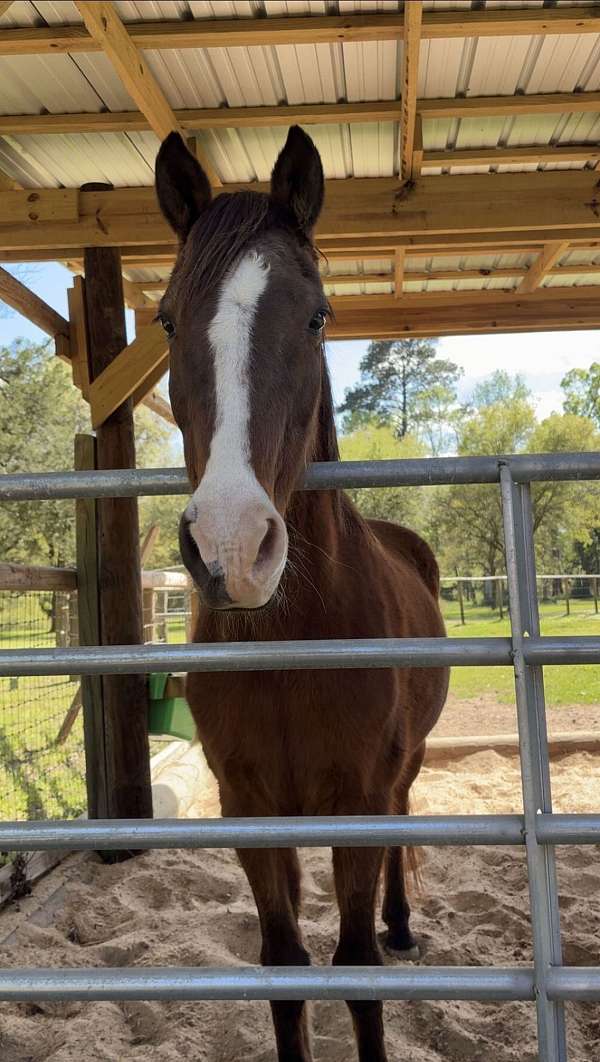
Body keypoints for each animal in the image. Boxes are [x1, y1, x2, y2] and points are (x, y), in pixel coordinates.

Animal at [155, 125, 449, 1062]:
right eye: (168, 317)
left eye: (317, 315)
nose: (231, 547)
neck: (291, 643)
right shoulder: (249, 807)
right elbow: (284, 969)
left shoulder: (360, 800)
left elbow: (356, 971)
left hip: (400, 775)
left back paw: (402, 923)